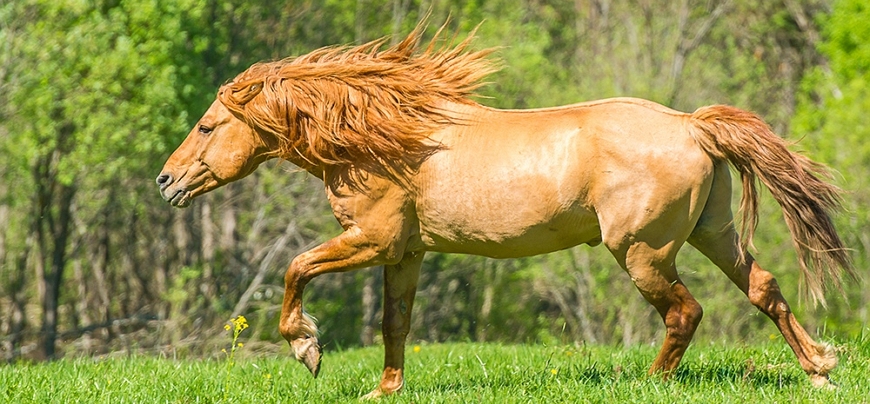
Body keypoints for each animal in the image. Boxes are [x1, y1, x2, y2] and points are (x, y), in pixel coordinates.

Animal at [155, 25, 852, 398]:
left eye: (207, 125)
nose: (166, 181)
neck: (389, 140)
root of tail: (691, 125)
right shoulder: (406, 252)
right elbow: (394, 324)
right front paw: (384, 389)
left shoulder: (371, 239)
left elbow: (295, 269)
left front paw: (308, 349)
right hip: (714, 233)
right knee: (764, 289)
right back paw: (819, 369)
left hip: (641, 252)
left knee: (685, 312)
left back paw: (645, 382)